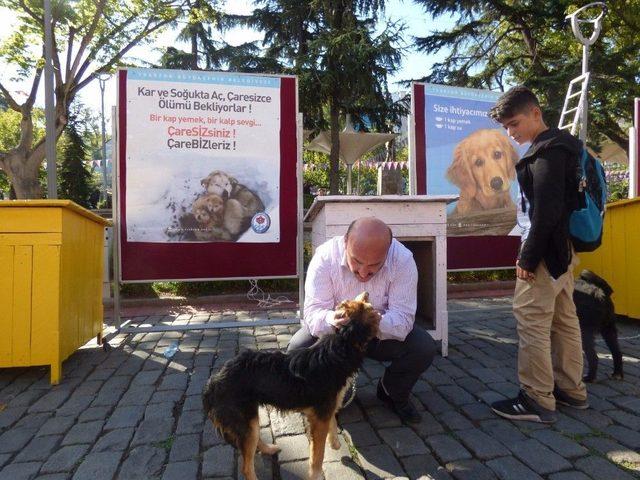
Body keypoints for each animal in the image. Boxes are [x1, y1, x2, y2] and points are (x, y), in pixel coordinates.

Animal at [202, 292, 380, 480]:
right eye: (369, 308)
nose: (367, 293)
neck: (342, 343)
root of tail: (213, 381)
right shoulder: (319, 418)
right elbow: (318, 454)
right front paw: (315, 473)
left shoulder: (326, 408)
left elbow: (332, 424)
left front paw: (335, 444)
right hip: (246, 420)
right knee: (246, 467)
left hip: (250, 420)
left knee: (255, 441)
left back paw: (269, 449)